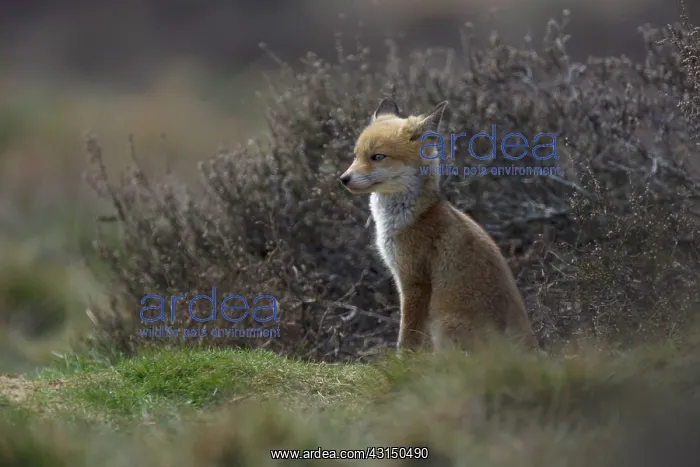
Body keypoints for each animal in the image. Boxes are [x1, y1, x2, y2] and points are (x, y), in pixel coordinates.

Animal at [339, 98, 538, 353]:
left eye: (378, 157)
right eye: (356, 156)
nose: (343, 179)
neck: (411, 218)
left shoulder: (415, 282)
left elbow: (408, 337)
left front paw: (403, 361)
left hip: (443, 324)